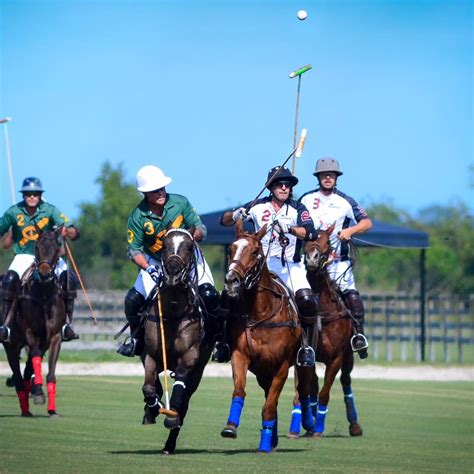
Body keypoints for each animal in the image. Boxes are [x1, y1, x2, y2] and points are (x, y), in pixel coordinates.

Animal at [0, 228, 67, 416]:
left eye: (57, 247)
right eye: (37, 247)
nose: (44, 273)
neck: (44, 296)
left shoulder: (54, 337)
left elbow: (50, 373)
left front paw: (52, 410)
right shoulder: (30, 333)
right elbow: (35, 360)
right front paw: (37, 394)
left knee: (25, 372)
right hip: (11, 344)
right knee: (18, 376)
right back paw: (25, 409)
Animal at [140, 230, 216, 456]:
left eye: (189, 247)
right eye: (164, 245)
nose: (173, 272)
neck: (173, 309)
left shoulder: (188, 358)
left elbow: (179, 393)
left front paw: (170, 416)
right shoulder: (150, 355)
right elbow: (148, 387)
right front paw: (154, 408)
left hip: (198, 371)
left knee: (185, 402)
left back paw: (170, 443)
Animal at [220, 220, 316, 454]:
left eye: (255, 251)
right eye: (231, 249)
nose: (231, 281)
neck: (261, 313)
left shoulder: (281, 366)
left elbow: (270, 407)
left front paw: (264, 445)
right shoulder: (240, 355)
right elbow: (240, 391)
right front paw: (230, 427)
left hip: (302, 364)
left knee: (303, 392)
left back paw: (307, 424)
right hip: (263, 372)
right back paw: (272, 438)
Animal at [288, 228, 362, 438]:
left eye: (328, 242)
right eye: (306, 241)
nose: (312, 259)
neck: (322, 310)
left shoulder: (336, 358)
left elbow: (325, 393)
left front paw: (318, 427)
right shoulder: (305, 355)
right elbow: (305, 389)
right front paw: (303, 425)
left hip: (348, 356)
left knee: (346, 380)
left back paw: (354, 425)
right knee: (313, 385)